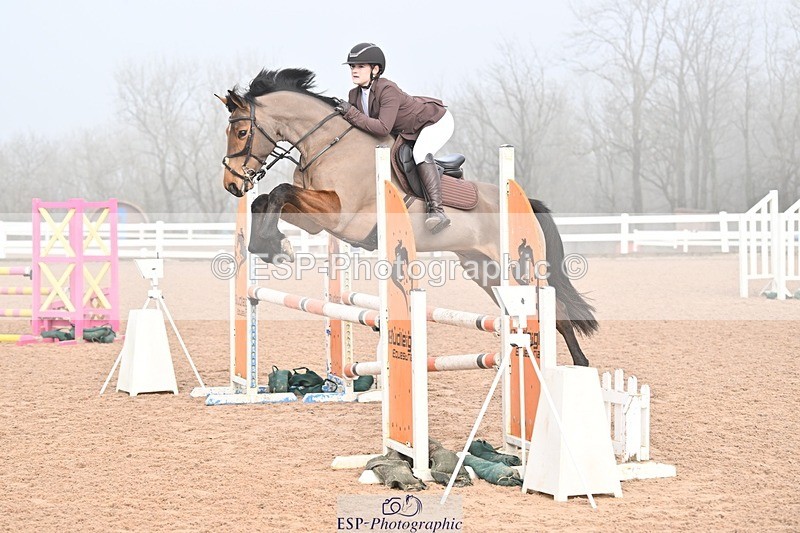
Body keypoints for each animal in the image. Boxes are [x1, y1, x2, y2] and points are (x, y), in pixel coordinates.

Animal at [218, 68, 597, 367]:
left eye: (241, 133)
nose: (232, 184)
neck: (329, 144)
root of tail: (527, 203)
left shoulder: (341, 217)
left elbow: (279, 192)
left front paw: (275, 246)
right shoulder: (317, 220)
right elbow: (265, 199)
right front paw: (270, 246)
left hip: (520, 268)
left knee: (557, 313)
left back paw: (578, 369)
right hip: (485, 270)